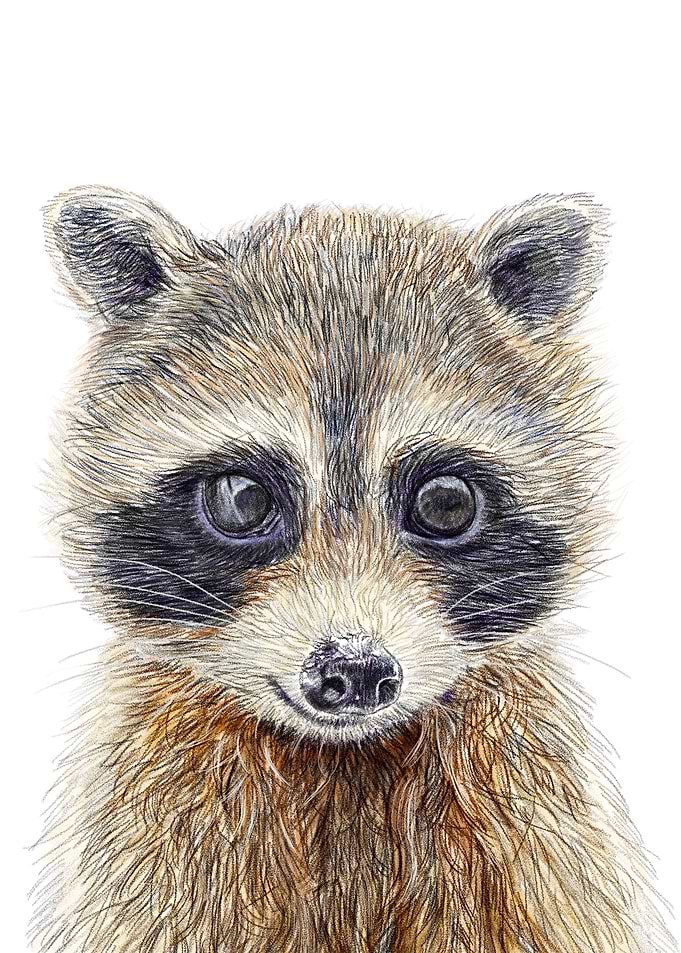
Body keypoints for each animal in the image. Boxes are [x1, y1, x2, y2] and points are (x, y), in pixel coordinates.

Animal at [31, 187, 675, 953]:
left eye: (446, 502)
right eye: (243, 499)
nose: (355, 669)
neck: (344, 758)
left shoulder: (532, 841)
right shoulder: (159, 849)